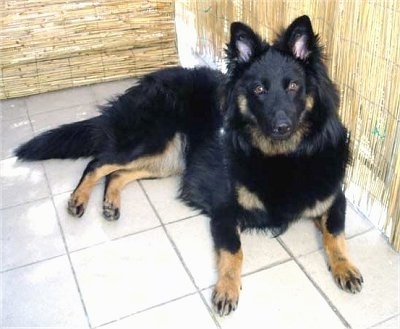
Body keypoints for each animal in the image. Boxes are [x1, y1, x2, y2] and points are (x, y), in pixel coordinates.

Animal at [15, 16, 362, 316]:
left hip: (167, 159)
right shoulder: (224, 211)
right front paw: (227, 288)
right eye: (259, 90)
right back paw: (79, 199)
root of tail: (147, 80)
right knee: (98, 162)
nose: (281, 126)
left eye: (293, 86)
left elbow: (335, 233)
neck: (282, 157)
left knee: (118, 173)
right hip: (152, 141)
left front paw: (345, 266)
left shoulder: (335, 199)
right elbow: (234, 251)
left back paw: (110, 203)